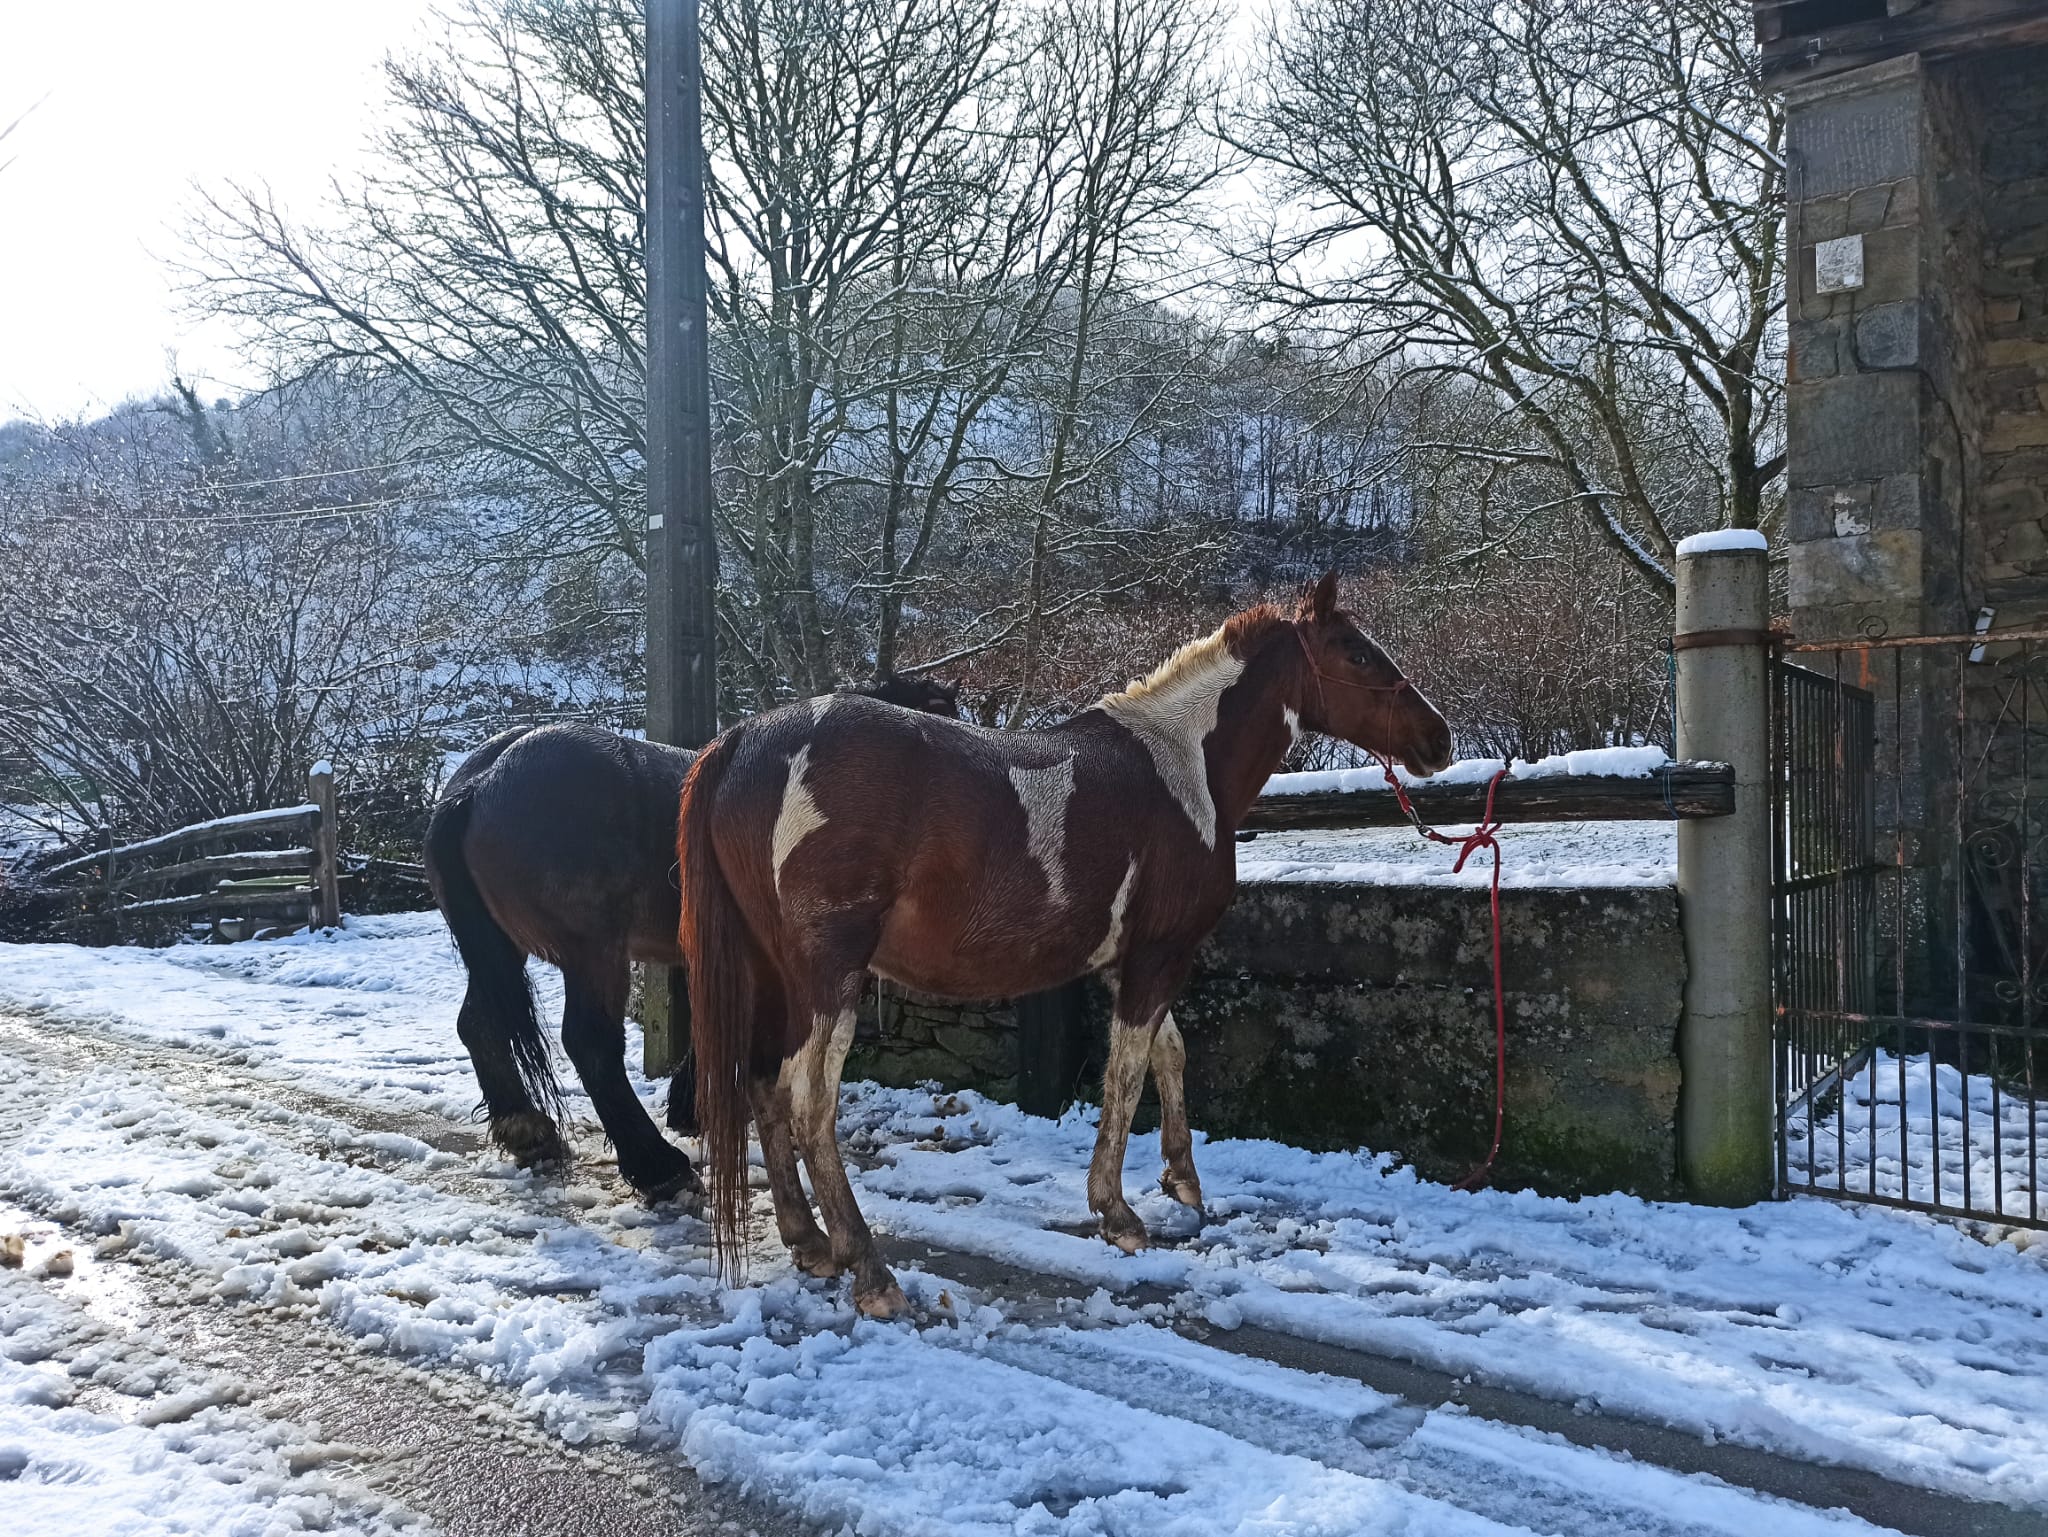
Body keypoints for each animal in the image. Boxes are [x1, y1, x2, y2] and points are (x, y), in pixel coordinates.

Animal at [421, 676, 958, 1205]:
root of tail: (481, 781)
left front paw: (689, 1106)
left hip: (500, 952)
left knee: (478, 1024)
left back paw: (526, 1128)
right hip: (592, 954)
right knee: (590, 1042)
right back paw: (658, 1167)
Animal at [679, 573, 1449, 1319]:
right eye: (1357, 653)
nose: (1437, 738)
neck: (1183, 765)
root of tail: (742, 740)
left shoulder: (1124, 962)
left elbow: (1169, 1053)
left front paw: (1182, 1178)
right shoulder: (1159, 956)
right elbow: (1128, 1071)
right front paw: (1118, 1212)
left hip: (773, 974)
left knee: (763, 1086)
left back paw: (808, 1239)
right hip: (829, 977)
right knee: (808, 1101)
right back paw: (868, 1268)